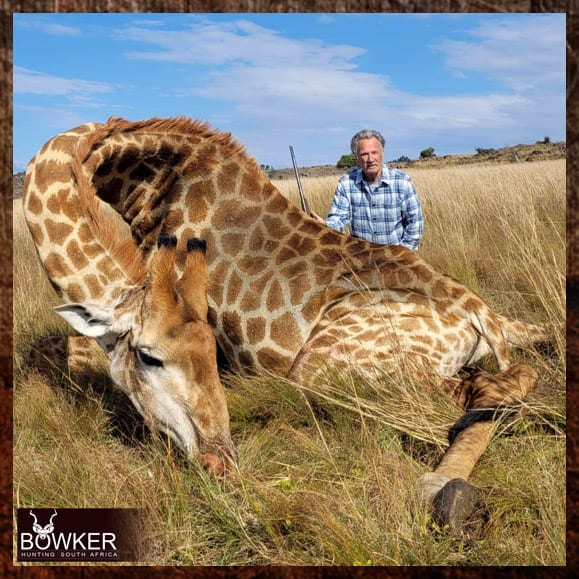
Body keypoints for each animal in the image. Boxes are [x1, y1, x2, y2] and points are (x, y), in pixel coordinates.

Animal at [22, 116, 548, 532]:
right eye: (150, 357)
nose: (220, 463)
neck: (148, 193)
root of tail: (478, 312)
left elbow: (52, 350)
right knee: (522, 365)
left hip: (323, 364)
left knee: (488, 387)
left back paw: (446, 493)